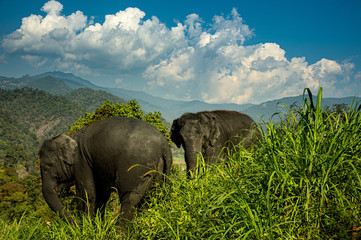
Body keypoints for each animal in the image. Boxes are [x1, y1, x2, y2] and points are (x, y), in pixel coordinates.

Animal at [40, 116, 172, 223]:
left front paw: (86, 228)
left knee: (129, 199)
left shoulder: (81, 161)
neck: (72, 136)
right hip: (158, 171)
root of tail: (164, 144)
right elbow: (102, 195)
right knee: (149, 199)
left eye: (45, 167)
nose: (76, 223)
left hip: (136, 168)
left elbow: (87, 194)